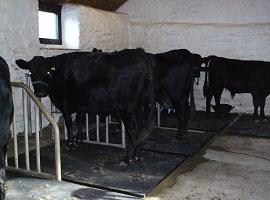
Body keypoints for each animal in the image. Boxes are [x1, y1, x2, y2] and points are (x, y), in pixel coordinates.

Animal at [16, 49, 156, 162]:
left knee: (132, 129)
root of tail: (139, 54)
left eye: (47, 72)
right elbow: (79, 120)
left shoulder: (64, 103)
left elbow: (69, 122)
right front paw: (79, 140)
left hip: (127, 108)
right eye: (31, 72)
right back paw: (137, 156)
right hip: (140, 107)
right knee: (140, 129)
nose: (40, 93)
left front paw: (70, 143)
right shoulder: (80, 104)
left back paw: (129, 158)